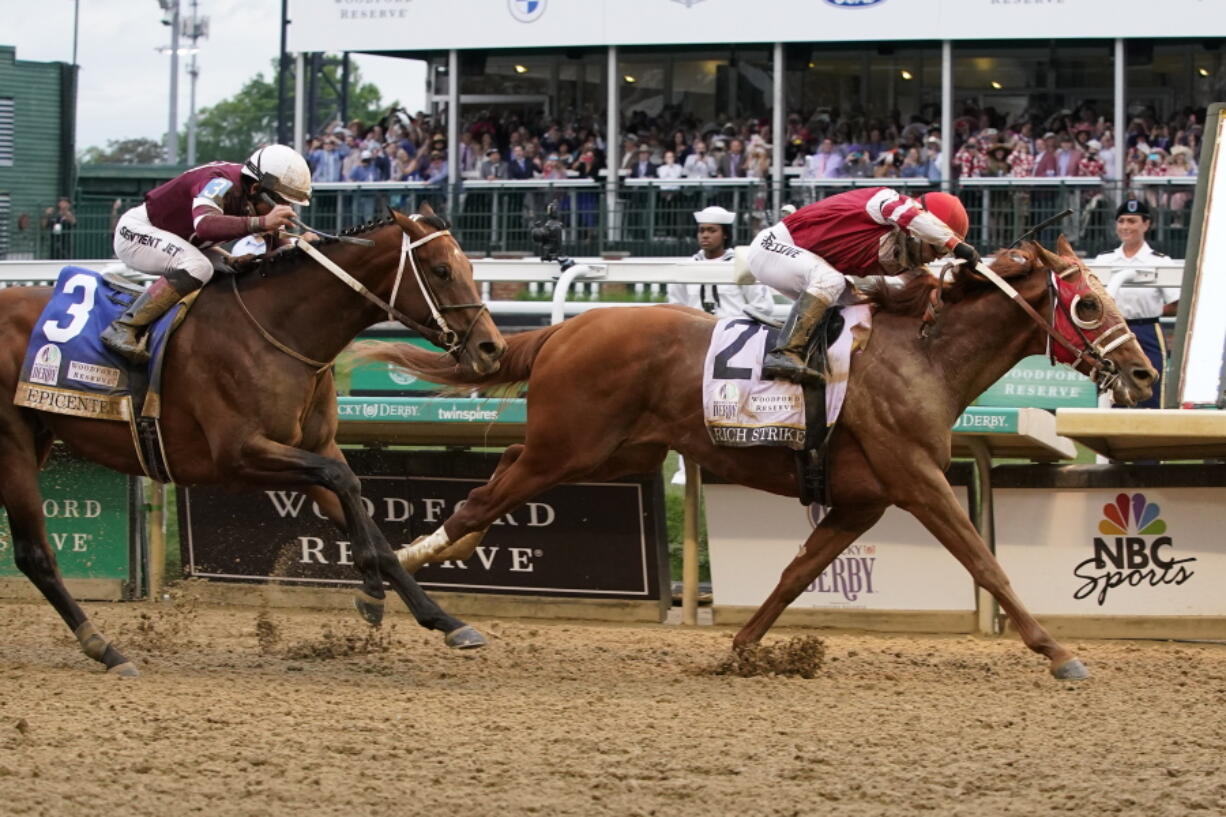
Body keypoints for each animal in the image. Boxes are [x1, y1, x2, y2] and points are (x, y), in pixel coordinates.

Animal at [0, 204, 505, 672]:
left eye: (470, 268)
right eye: (441, 271)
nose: (492, 348)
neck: (278, 331)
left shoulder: (310, 449)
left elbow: (364, 514)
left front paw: (442, 619)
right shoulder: (239, 457)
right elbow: (344, 481)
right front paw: (373, 592)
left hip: (37, 438)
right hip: (14, 446)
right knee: (34, 554)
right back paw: (106, 649)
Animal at [362, 236, 1157, 682]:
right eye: (1087, 305)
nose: (1145, 374)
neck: (923, 353)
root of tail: (567, 329)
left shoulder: (864, 499)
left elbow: (795, 573)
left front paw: (740, 648)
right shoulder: (918, 480)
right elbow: (986, 563)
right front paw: (1058, 651)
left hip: (604, 453)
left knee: (492, 488)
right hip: (568, 447)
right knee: (478, 500)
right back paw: (403, 576)